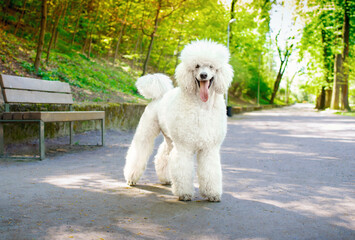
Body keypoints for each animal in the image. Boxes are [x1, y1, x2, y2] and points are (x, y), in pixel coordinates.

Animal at [124, 40, 235, 202]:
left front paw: (212, 194)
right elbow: (183, 170)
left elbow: (210, 171)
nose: (203, 75)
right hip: (147, 131)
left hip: (170, 138)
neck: (201, 107)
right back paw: (131, 178)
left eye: (211, 66)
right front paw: (185, 194)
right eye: (196, 66)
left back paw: (165, 179)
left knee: (163, 155)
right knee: (139, 150)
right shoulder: (184, 147)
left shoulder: (209, 148)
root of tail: (160, 96)